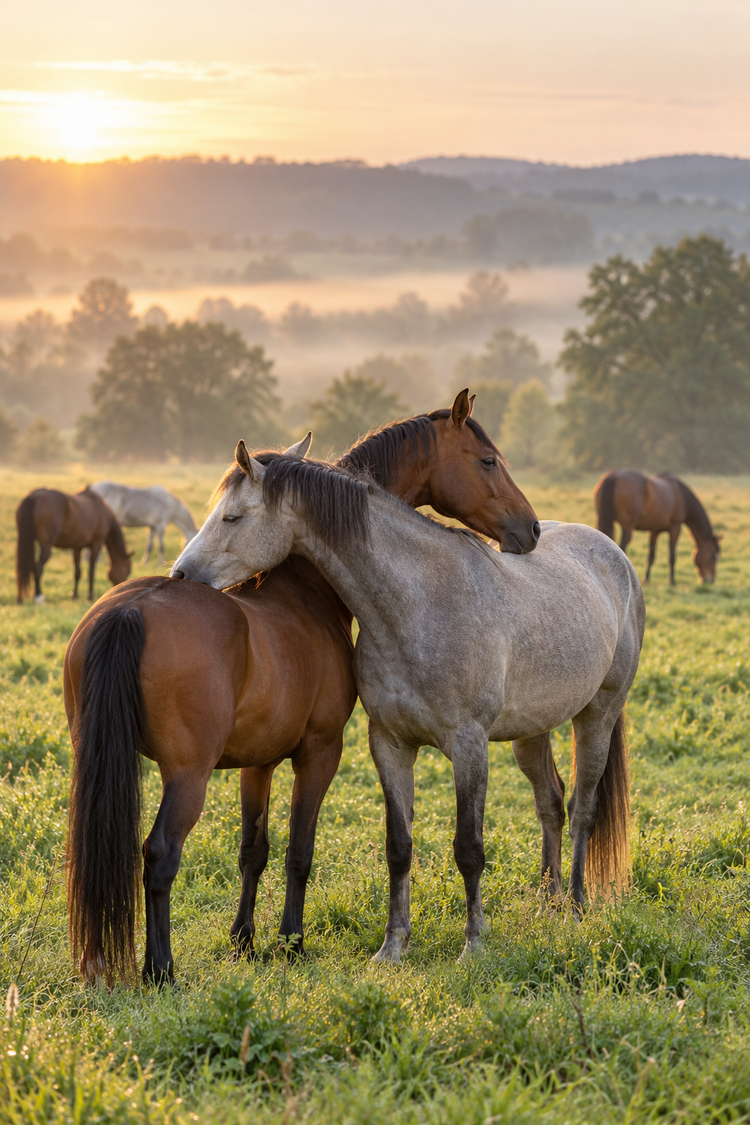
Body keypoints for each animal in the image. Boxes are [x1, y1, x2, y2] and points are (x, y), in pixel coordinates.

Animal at [64, 390, 541, 985]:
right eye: (487, 461)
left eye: (230, 515)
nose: (531, 529)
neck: (303, 593)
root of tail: (130, 610)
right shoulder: (319, 752)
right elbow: (300, 850)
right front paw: (291, 941)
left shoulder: (258, 762)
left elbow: (254, 849)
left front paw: (243, 942)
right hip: (187, 774)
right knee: (159, 854)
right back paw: (161, 969)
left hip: (98, 761)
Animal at [173, 440, 645, 963]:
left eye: (232, 517)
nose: (181, 574)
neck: (418, 604)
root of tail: (612, 553)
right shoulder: (390, 744)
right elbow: (398, 845)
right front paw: (393, 945)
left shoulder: (469, 746)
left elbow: (469, 848)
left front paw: (474, 943)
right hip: (532, 731)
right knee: (551, 804)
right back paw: (549, 901)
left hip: (598, 714)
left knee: (584, 808)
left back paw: (577, 906)